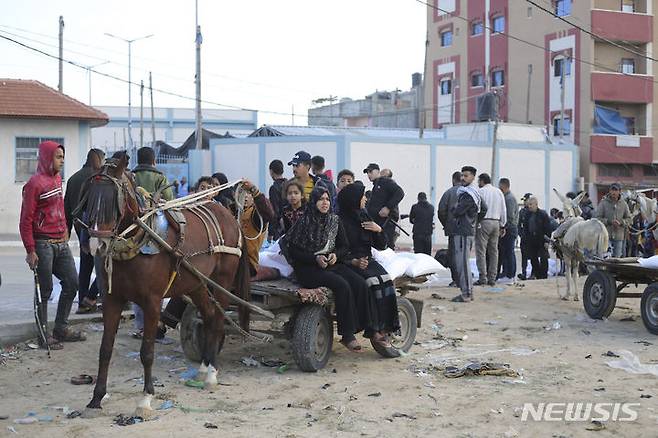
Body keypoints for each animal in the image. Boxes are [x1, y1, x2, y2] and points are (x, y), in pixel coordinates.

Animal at [79, 157, 249, 414]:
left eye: (113, 199)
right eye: (90, 196)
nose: (96, 244)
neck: (136, 243)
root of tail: (228, 213)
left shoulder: (152, 301)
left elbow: (147, 352)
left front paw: (145, 399)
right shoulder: (112, 299)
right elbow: (105, 349)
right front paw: (97, 397)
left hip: (223, 280)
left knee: (219, 320)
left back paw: (211, 374)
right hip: (196, 282)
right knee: (209, 315)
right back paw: (203, 366)